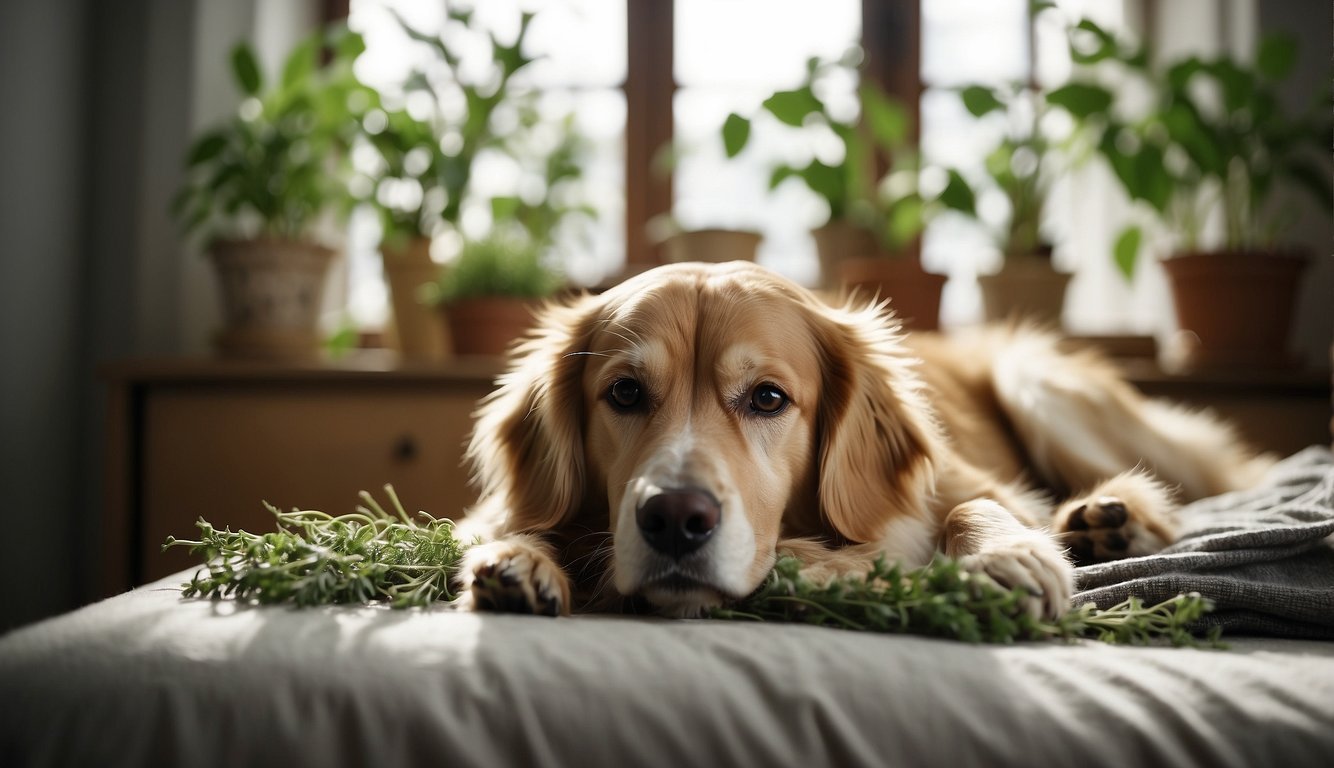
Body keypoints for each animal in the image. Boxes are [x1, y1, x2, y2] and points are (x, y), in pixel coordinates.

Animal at [456, 261, 1269, 621]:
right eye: (625, 393)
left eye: (768, 398)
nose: (675, 520)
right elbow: (507, 526)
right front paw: (519, 561)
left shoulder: (973, 484)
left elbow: (969, 508)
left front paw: (1006, 557)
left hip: (1035, 380)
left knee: (1192, 489)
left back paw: (1111, 518)